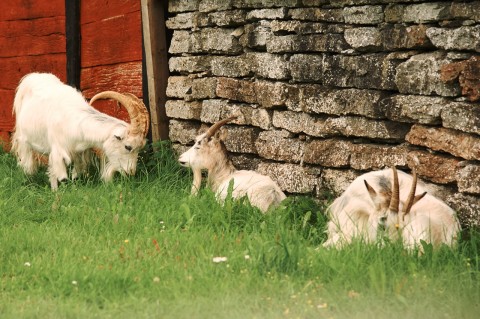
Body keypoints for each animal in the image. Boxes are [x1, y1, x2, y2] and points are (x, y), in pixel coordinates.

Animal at [11, 72, 150, 190]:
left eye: (140, 148)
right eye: (128, 147)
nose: (131, 172)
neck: (77, 123)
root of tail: (33, 76)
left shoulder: (79, 153)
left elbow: (74, 176)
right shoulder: (58, 151)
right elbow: (63, 178)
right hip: (23, 140)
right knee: (26, 163)